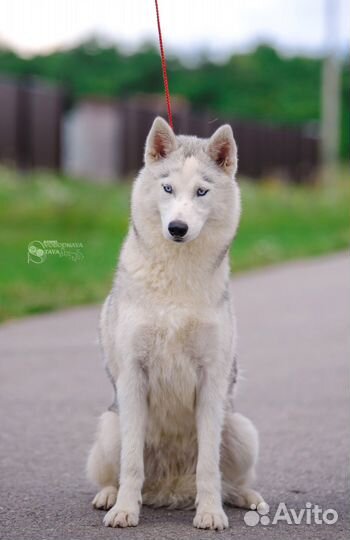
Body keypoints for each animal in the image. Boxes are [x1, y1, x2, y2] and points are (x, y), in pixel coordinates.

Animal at [86, 117, 264, 528]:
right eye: (168, 188)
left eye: (201, 191)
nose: (178, 228)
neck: (176, 282)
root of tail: (169, 492)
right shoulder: (133, 377)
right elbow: (131, 465)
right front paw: (125, 510)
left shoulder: (212, 379)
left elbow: (209, 468)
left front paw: (210, 513)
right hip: (110, 429)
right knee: (115, 473)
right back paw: (110, 496)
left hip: (241, 430)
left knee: (230, 481)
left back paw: (246, 498)